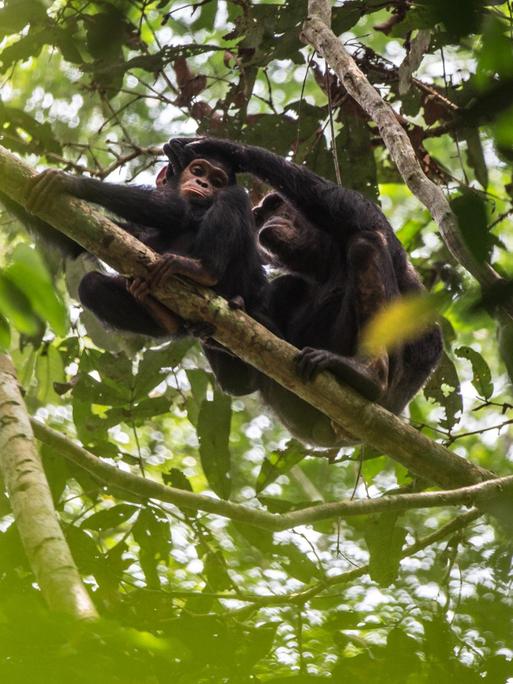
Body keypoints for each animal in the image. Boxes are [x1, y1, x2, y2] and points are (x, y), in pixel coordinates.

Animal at [182, 136, 442, 446]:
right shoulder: (283, 285)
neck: (324, 262)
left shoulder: (368, 214)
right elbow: (241, 382)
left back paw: (368, 375)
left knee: (366, 244)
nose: (264, 219)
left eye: (275, 205)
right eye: (259, 215)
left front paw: (227, 149)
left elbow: (349, 210)